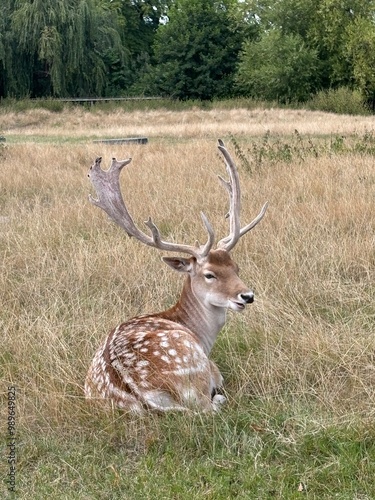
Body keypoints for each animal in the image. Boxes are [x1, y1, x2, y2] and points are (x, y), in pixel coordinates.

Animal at [85, 139, 268, 412]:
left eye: (236, 267)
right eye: (209, 274)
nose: (247, 296)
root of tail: (140, 395)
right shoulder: (212, 367)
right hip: (194, 367)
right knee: (207, 407)